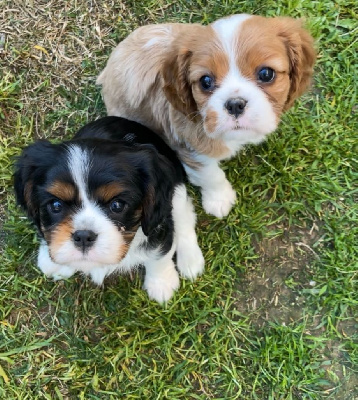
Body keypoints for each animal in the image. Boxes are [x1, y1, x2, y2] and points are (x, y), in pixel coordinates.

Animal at [14, 115, 204, 304]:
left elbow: (159, 256)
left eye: (117, 205)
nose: (83, 237)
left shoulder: (158, 227)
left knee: (185, 219)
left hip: (177, 193)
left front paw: (161, 283)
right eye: (56, 205)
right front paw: (52, 262)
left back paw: (190, 260)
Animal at [96, 14, 314, 219]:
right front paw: (219, 199)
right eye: (206, 81)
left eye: (266, 74)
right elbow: (210, 174)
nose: (235, 104)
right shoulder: (190, 146)